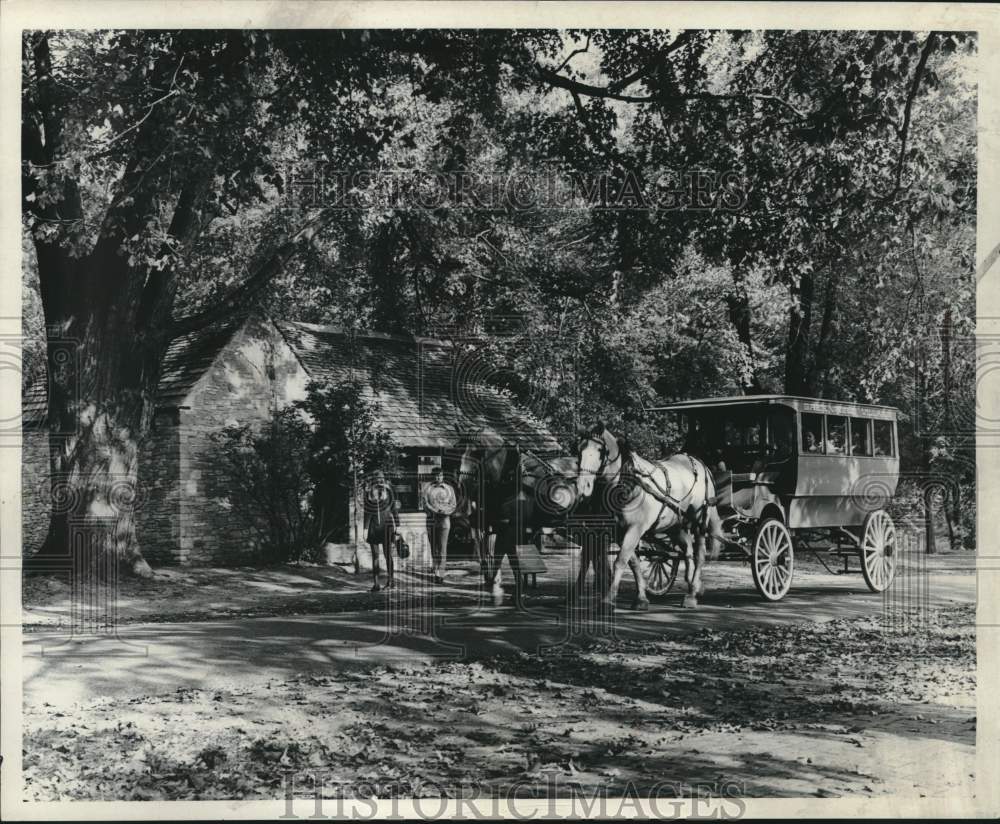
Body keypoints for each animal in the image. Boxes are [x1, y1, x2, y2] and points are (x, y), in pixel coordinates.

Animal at [576, 422, 724, 608]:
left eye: (600, 450)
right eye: (578, 449)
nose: (583, 486)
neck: (630, 485)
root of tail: (700, 464)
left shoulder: (635, 529)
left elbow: (620, 561)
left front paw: (609, 598)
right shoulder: (620, 532)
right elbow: (633, 562)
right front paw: (641, 597)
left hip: (698, 521)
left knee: (699, 554)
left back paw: (691, 594)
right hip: (675, 525)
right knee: (687, 551)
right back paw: (694, 586)